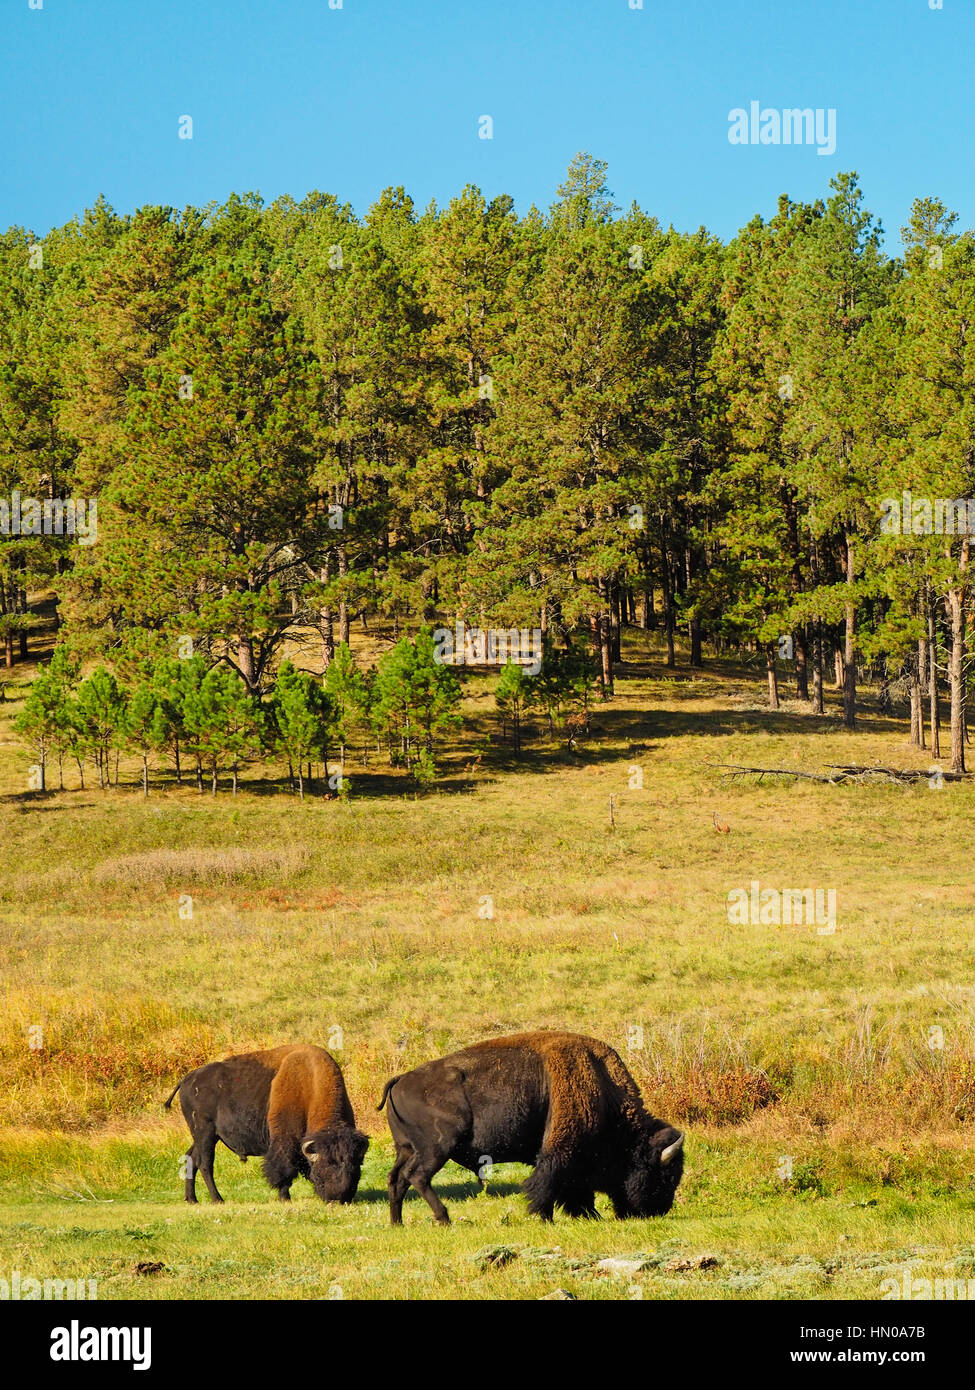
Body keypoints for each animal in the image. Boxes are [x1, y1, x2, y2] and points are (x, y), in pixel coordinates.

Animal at [164, 1044, 368, 1204]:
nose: (339, 1198)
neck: (310, 1082)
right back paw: (217, 1199)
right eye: (325, 1165)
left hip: (205, 1136)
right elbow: (284, 1168)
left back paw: (192, 1199)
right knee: (205, 1163)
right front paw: (285, 1198)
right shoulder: (284, 1140)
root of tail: (186, 1080)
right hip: (205, 1132)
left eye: (355, 1166)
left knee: (191, 1158)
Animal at [377, 1030, 683, 1224]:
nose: (658, 1210)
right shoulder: (560, 1151)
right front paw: (545, 1217)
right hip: (437, 1147)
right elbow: (548, 1183)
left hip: (406, 1148)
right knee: (417, 1176)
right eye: (662, 1174)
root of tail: (401, 1079)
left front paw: (586, 1216)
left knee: (397, 1178)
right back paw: (444, 1218)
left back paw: (397, 1223)